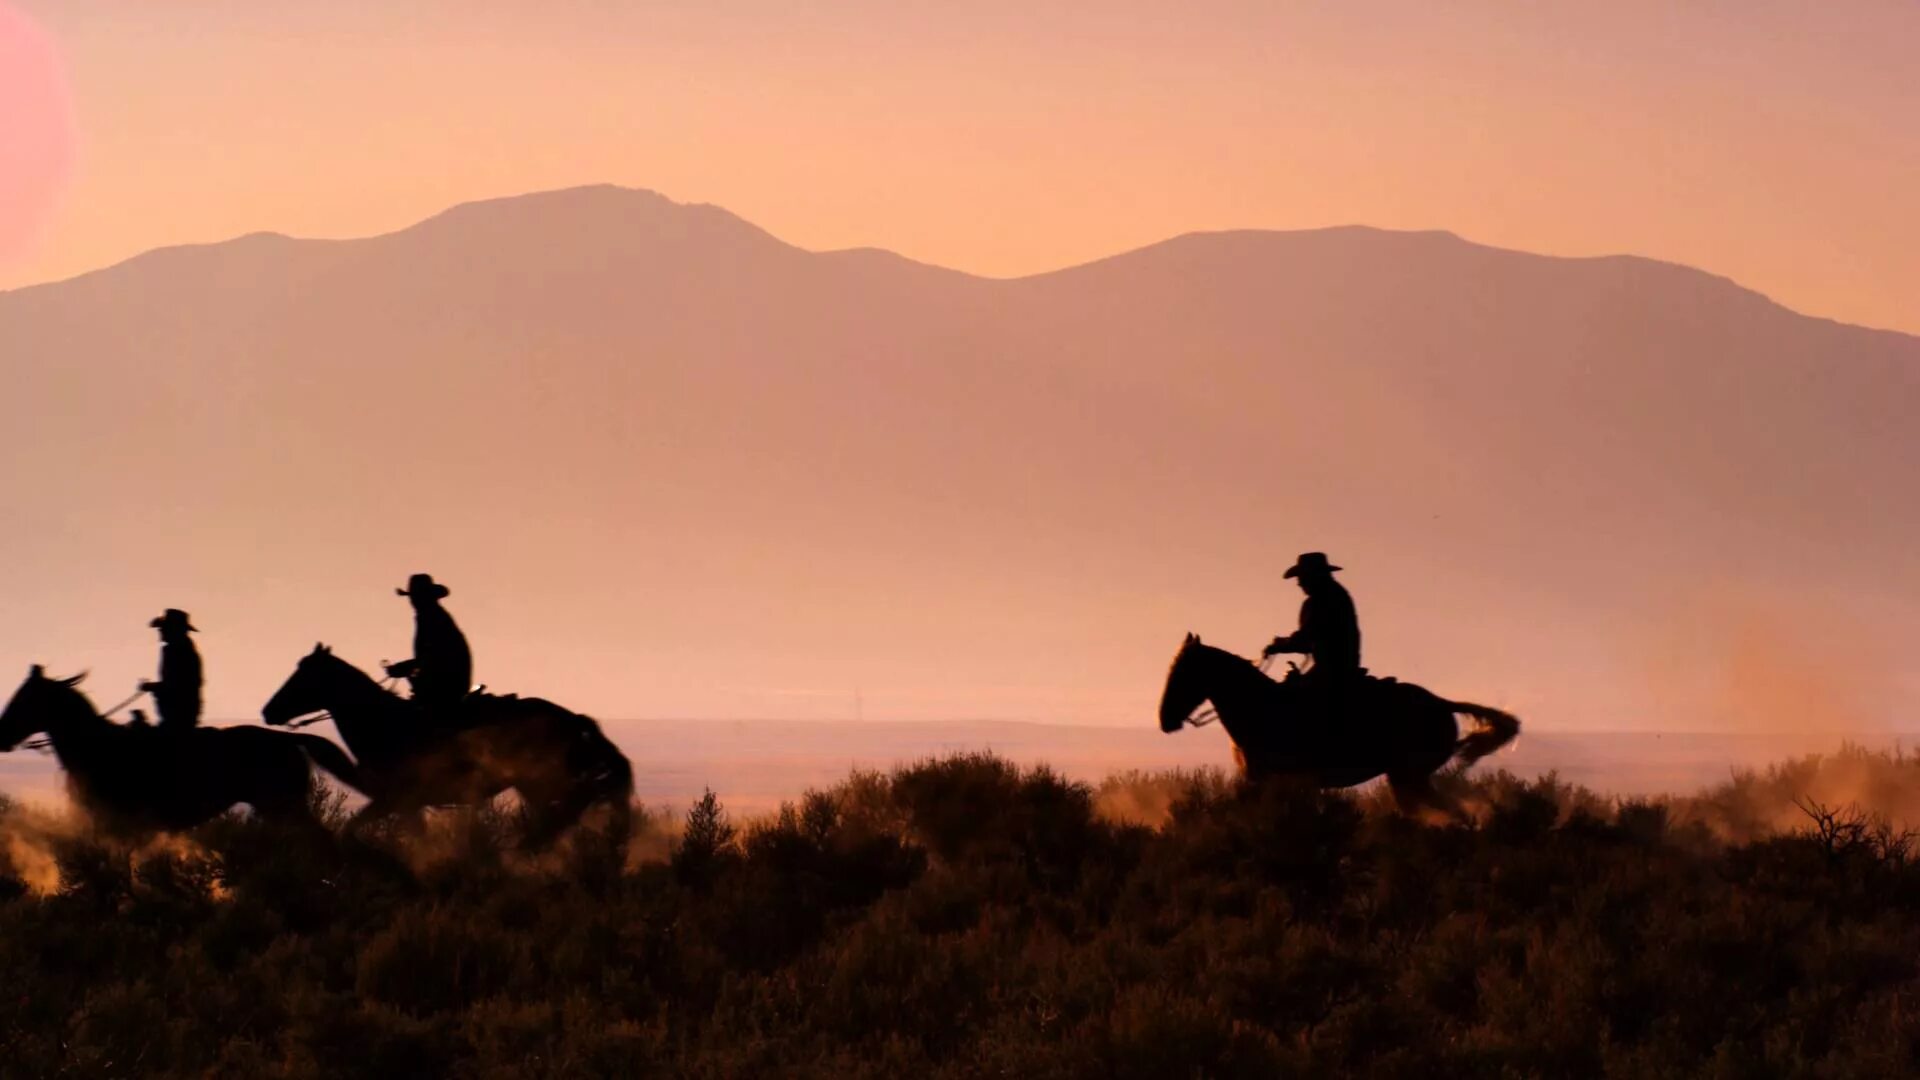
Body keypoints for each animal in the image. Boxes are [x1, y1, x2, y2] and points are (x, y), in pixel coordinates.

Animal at [263, 641, 633, 845]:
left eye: (303, 676)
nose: (268, 710)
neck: (385, 724)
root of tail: (572, 718)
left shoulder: (395, 799)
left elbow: (354, 828)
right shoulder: (404, 805)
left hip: (543, 781)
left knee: (576, 803)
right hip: (537, 786)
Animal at [1152, 630, 1512, 814]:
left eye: (1182, 673)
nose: (1164, 720)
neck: (1260, 706)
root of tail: (1440, 703)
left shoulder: (1263, 779)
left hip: (1409, 778)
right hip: (1409, 779)